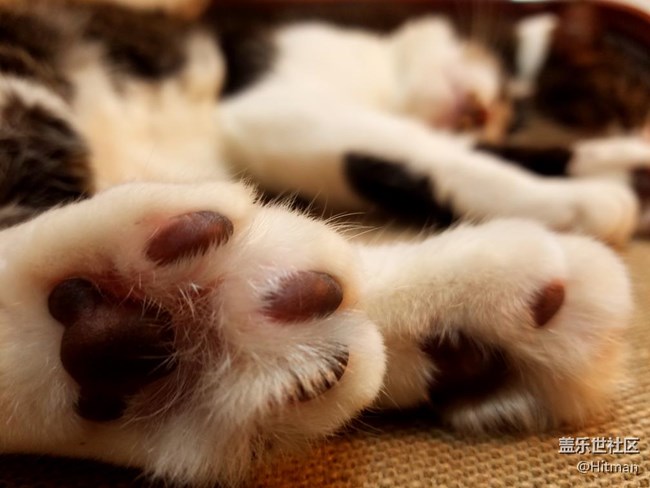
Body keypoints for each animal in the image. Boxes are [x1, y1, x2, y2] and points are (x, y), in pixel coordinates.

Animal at [0, 0, 643, 486]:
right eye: (511, 82)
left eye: (518, 112)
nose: (485, 113)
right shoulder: (275, 102)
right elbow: (421, 150)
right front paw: (581, 199)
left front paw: (626, 164)